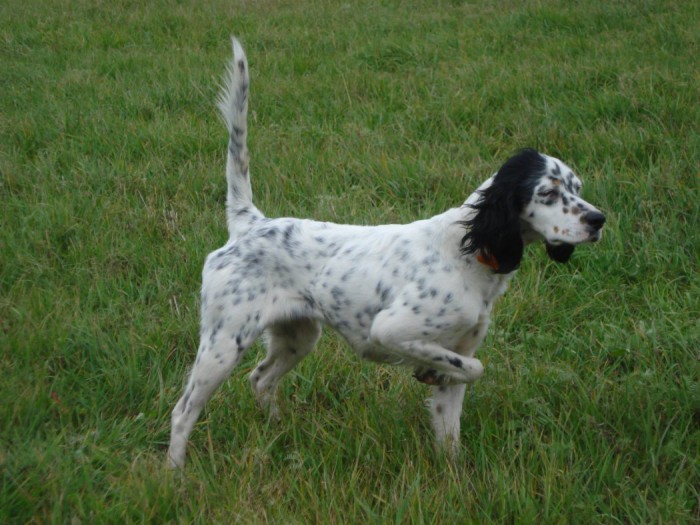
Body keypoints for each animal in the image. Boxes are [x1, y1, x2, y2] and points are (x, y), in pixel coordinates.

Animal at [167, 37, 604, 466]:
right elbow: (475, 369)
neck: (468, 253)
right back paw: (175, 472)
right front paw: (429, 372)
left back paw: (277, 431)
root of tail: (251, 222)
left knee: (260, 378)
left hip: (298, 336)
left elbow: (452, 423)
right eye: (547, 193)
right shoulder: (391, 329)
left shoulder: (458, 349)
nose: (598, 219)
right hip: (224, 343)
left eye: (577, 188)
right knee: (183, 410)